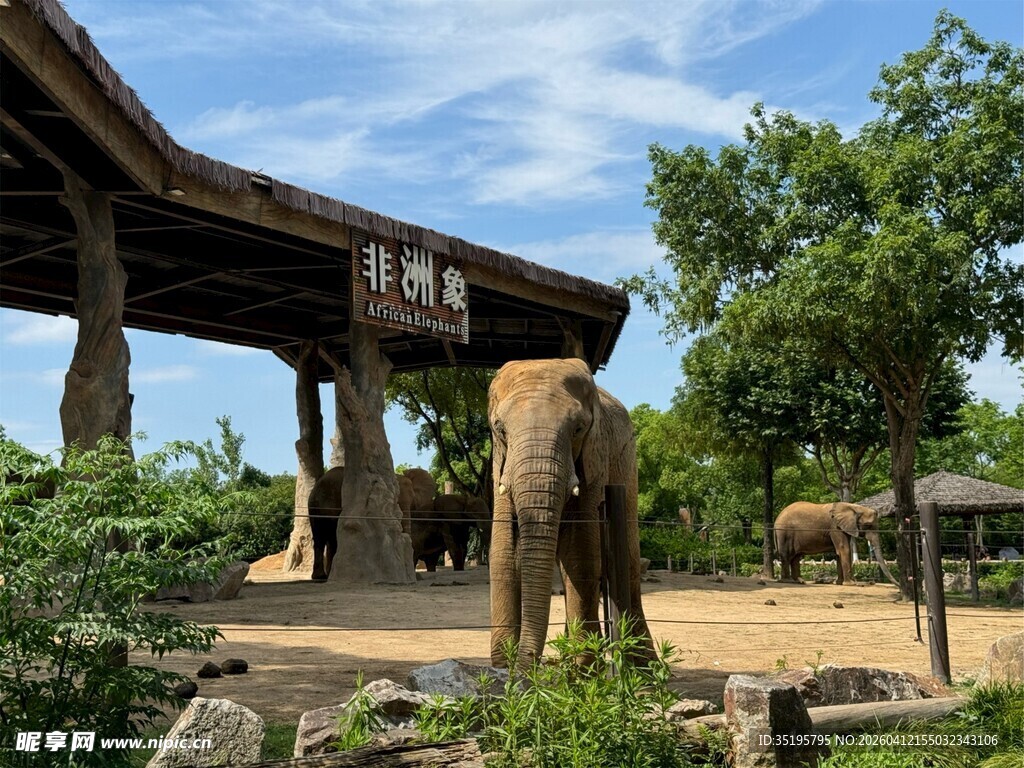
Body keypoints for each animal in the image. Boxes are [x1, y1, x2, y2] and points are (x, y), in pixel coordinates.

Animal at [487, 357, 654, 666]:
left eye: (578, 429)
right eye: (500, 429)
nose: (531, 666)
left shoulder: (594, 456)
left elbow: (580, 552)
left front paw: (584, 667)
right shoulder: (499, 464)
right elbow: (503, 551)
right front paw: (504, 663)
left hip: (627, 463)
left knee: (627, 561)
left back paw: (645, 667)